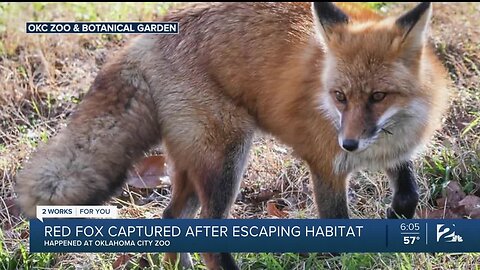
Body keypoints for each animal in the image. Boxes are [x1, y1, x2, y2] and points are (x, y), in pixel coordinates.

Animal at [15, 2, 450, 270]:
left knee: (171, 219)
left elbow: (408, 194)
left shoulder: (394, 150)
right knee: (208, 237)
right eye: (340, 96)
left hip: (194, 167)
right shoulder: (326, 166)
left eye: (378, 96)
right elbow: (338, 229)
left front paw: (395, 220)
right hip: (227, 159)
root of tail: (147, 37)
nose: (349, 143)